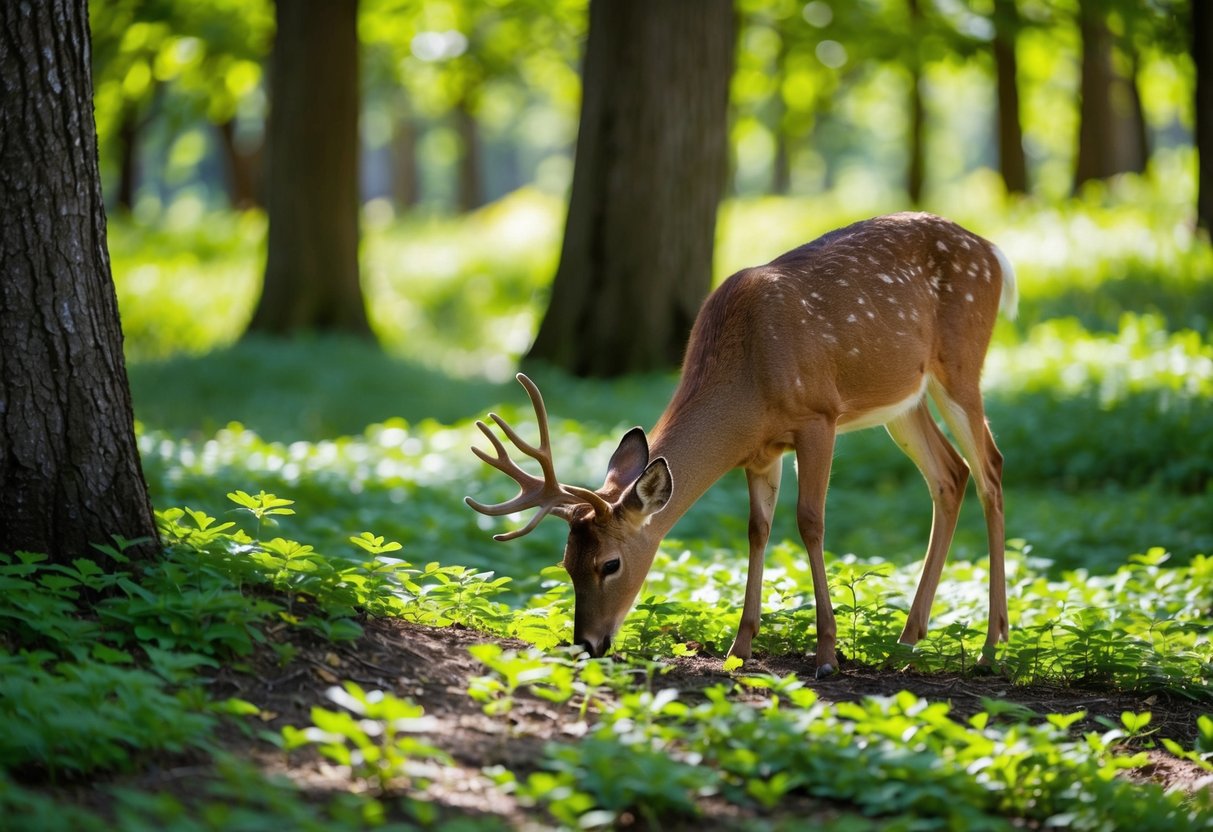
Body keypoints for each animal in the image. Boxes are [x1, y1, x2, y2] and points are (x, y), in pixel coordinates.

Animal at [463, 212, 1014, 679]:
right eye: (566, 563)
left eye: (610, 564)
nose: (588, 644)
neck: (748, 386)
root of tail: (993, 252)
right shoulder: (761, 451)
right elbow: (758, 530)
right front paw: (740, 648)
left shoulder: (819, 415)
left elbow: (810, 523)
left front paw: (827, 654)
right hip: (903, 401)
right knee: (950, 475)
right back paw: (908, 639)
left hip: (960, 363)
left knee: (990, 466)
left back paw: (992, 645)